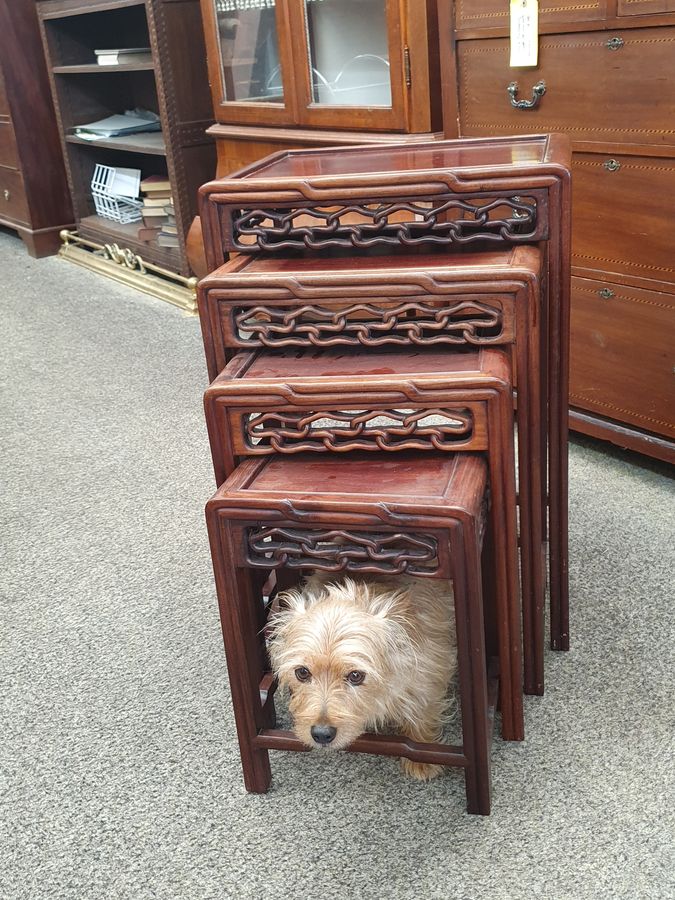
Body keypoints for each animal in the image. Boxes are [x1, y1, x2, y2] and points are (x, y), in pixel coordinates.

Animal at [266, 576, 456, 780]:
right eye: (302, 672)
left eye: (355, 676)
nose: (322, 734)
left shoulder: (428, 673)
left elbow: (423, 710)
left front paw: (421, 756)